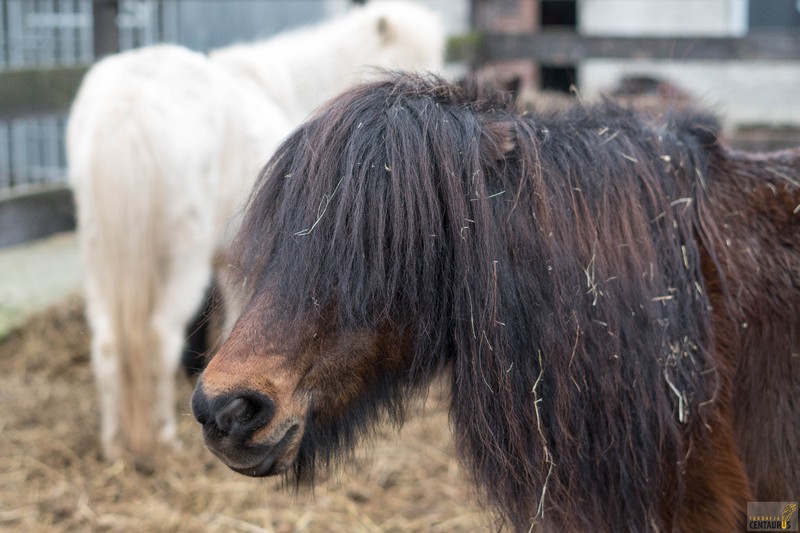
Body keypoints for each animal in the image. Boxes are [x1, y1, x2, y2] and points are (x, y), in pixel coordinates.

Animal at [66, 1, 446, 462]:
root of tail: (126, 110)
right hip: (178, 260)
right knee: (157, 339)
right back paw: (163, 439)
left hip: (101, 255)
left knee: (106, 344)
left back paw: (115, 446)